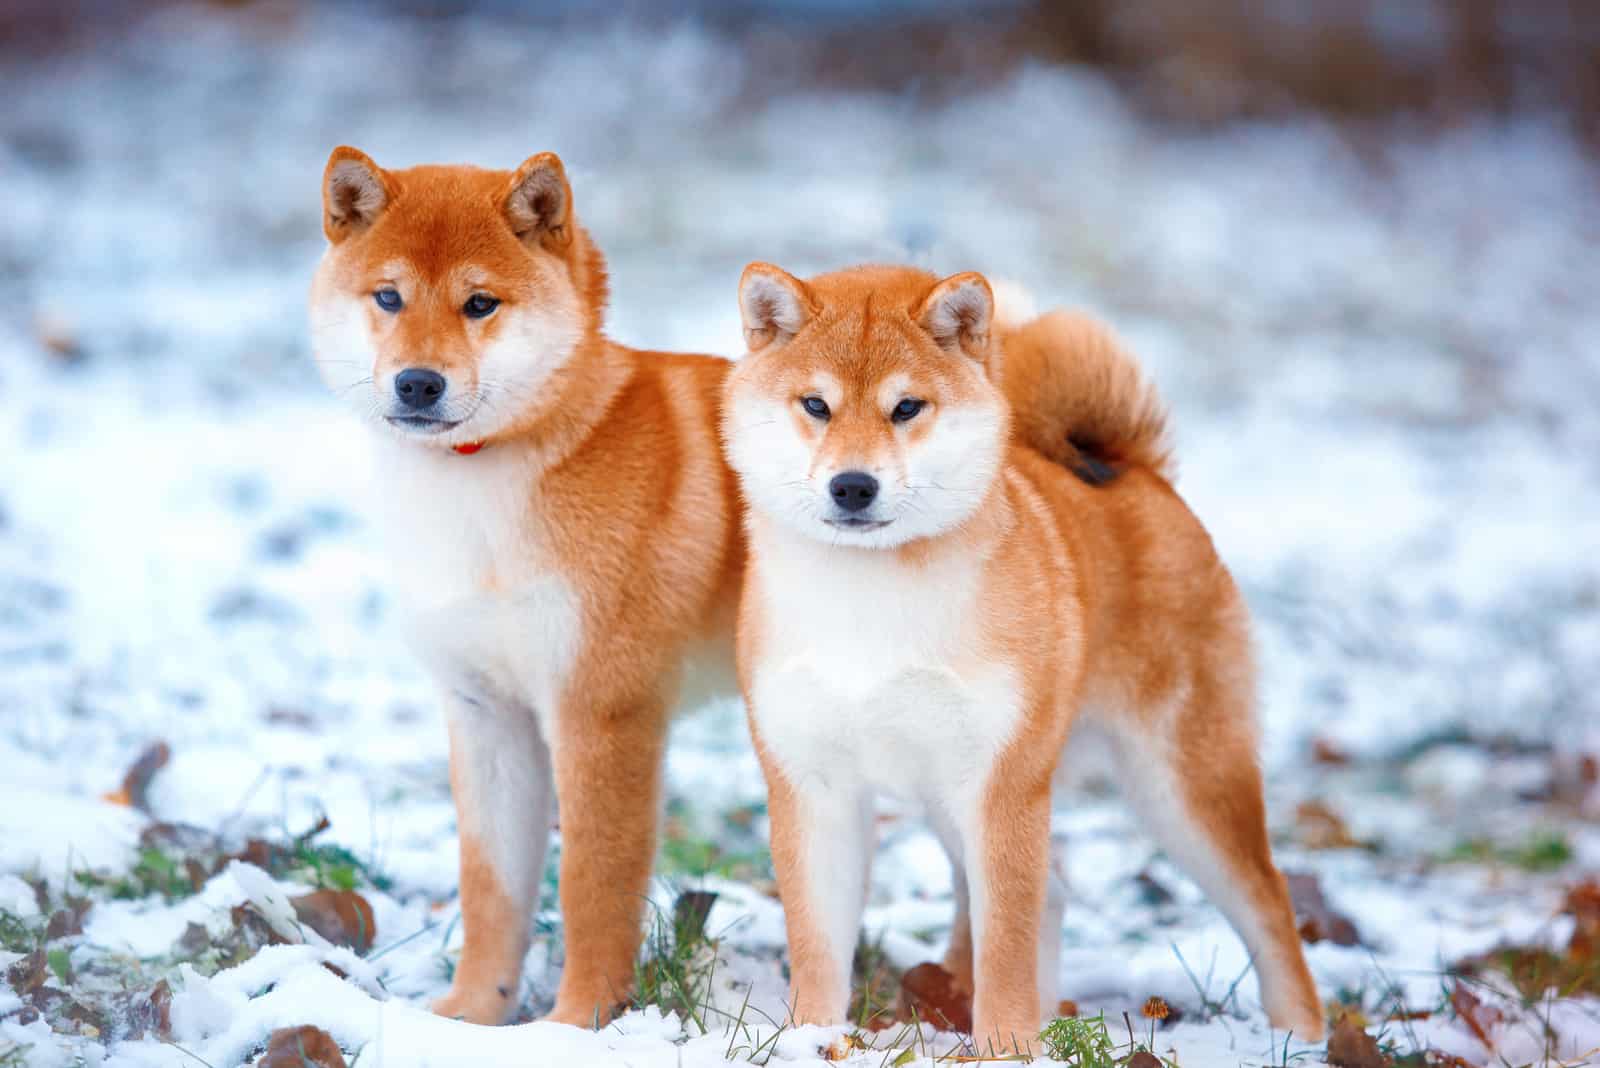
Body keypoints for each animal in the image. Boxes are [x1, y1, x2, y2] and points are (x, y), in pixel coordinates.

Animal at [307, 146, 742, 1023]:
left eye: (480, 303)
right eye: (389, 297)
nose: (418, 383)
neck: (479, 496)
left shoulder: (602, 714)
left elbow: (591, 890)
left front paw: (575, 1026)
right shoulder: (487, 712)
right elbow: (492, 890)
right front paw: (474, 1016)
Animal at [726, 265, 1324, 1048]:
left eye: (907, 407)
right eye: (816, 405)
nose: (853, 485)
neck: (872, 602)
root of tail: (1132, 469)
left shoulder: (1003, 784)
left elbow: (1004, 945)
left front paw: (1006, 1049)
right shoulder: (813, 785)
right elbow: (819, 946)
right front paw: (811, 1040)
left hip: (1182, 788)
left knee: (1270, 904)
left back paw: (1303, 1037)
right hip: (956, 801)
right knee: (1058, 895)